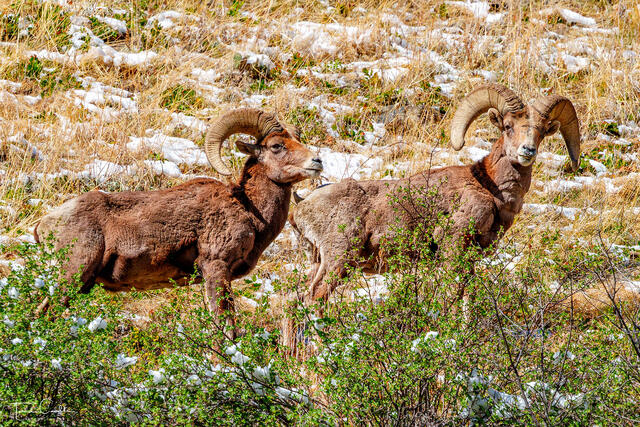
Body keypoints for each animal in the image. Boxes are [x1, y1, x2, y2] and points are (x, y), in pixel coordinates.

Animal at [34, 108, 323, 325]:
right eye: (276, 146)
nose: (317, 161)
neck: (248, 209)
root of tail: (43, 225)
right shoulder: (215, 268)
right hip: (73, 274)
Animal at [289, 83, 581, 304]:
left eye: (541, 132)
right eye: (508, 126)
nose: (527, 151)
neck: (491, 190)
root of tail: (302, 207)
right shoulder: (453, 245)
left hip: (319, 260)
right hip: (339, 258)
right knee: (313, 299)